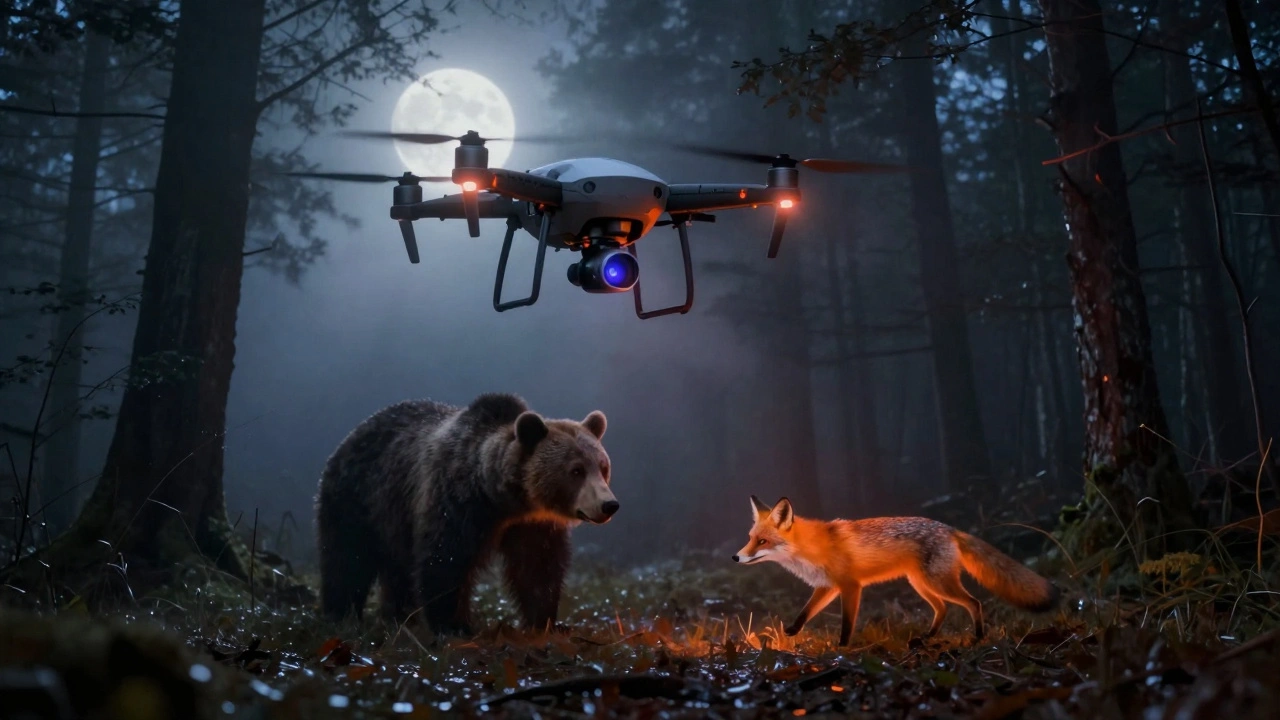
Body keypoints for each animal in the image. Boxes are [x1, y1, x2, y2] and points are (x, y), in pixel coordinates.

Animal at [315, 392, 617, 636]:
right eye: (576, 470)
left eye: (603, 467)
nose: (609, 505)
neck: (503, 500)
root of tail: (352, 435)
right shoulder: (457, 503)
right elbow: (445, 560)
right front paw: (454, 626)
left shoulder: (533, 523)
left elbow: (538, 567)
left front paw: (547, 622)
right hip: (356, 499)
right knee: (346, 560)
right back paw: (341, 615)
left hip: (394, 520)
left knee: (396, 570)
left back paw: (398, 617)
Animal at [732, 496, 1059, 646]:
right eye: (750, 537)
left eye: (762, 541)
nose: (736, 557)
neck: (811, 550)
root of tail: (950, 529)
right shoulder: (827, 586)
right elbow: (805, 611)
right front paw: (792, 630)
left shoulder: (850, 586)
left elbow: (847, 623)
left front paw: (842, 648)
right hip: (921, 584)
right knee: (943, 609)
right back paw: (926, 637)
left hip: (937, 583)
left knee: (974, 602)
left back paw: (978, 637)